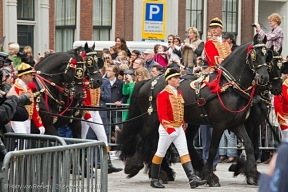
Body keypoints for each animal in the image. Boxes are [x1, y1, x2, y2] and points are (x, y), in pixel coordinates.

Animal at [118, 35, 270, 186]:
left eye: (267, 55)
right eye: (255, 55)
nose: (264, 77)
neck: (228, 87)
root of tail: (148, 81)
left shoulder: (237, 124)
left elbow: (249, 146)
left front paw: (253, 175)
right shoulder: (219, 125)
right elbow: (212, 149)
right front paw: (211, 177)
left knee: (164, 143)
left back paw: (164, 173)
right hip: (152, 120)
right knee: (142, 139)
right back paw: (135, 166)